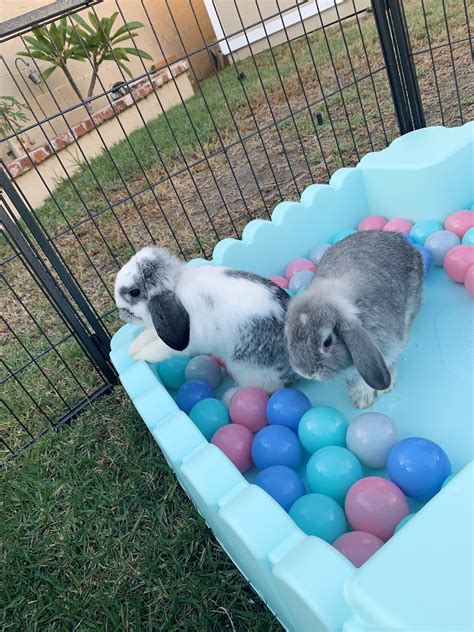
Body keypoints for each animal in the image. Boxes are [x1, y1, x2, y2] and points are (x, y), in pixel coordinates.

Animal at [114, 246, 296, 390]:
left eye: (134, 292)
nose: (121, 313)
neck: (176, 286)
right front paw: (134, 347)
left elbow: (159, 348)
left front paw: (138, 354)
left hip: (249, 371)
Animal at [284, 230, 424, 408]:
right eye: (288, 337)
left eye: (327, 341)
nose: (306, 372)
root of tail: (395, 235)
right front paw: (360, 396)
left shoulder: (386, 345)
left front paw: (379, 390)